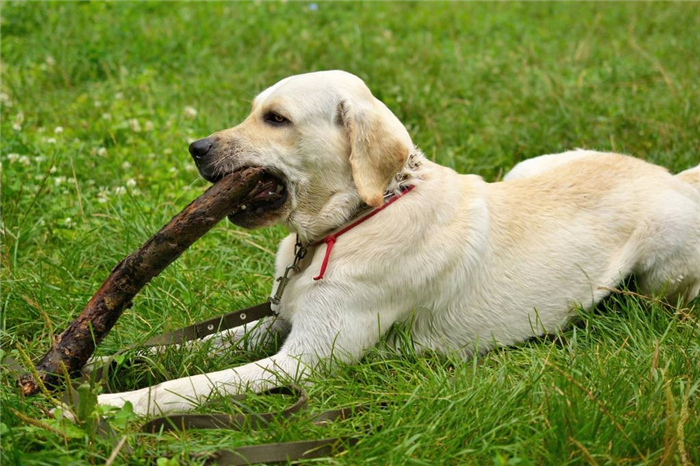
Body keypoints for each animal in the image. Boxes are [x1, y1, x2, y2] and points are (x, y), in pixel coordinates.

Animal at [98, 70, 700, 416]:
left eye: (276, 119)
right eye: (256, 111)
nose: (195, 148)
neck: (355, 219)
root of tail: (674, 178)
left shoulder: (301, 363)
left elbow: (190, 385)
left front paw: (111, 405)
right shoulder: (280, 320)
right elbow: (184, 350)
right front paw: (100, 363)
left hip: (662, 271)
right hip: (527, 166)